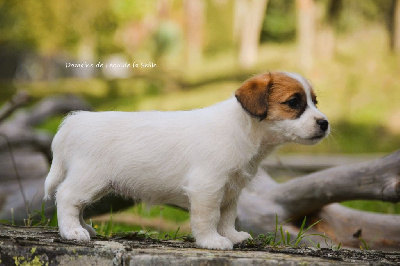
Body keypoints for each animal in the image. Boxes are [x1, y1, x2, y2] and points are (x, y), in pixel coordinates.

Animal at [43, 70, 328, 249]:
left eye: (315, 101)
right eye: (293, 102)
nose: (325, 123)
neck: (244, 129)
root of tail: (74, 121)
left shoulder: (231, 190)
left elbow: (227, 216)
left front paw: (231, 236)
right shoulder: (207, 187)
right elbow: (209, 217)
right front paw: (212, 241)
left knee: (76, 204)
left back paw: (85, 228)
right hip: (90, 178)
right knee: (67, 197)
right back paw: (72, 232)